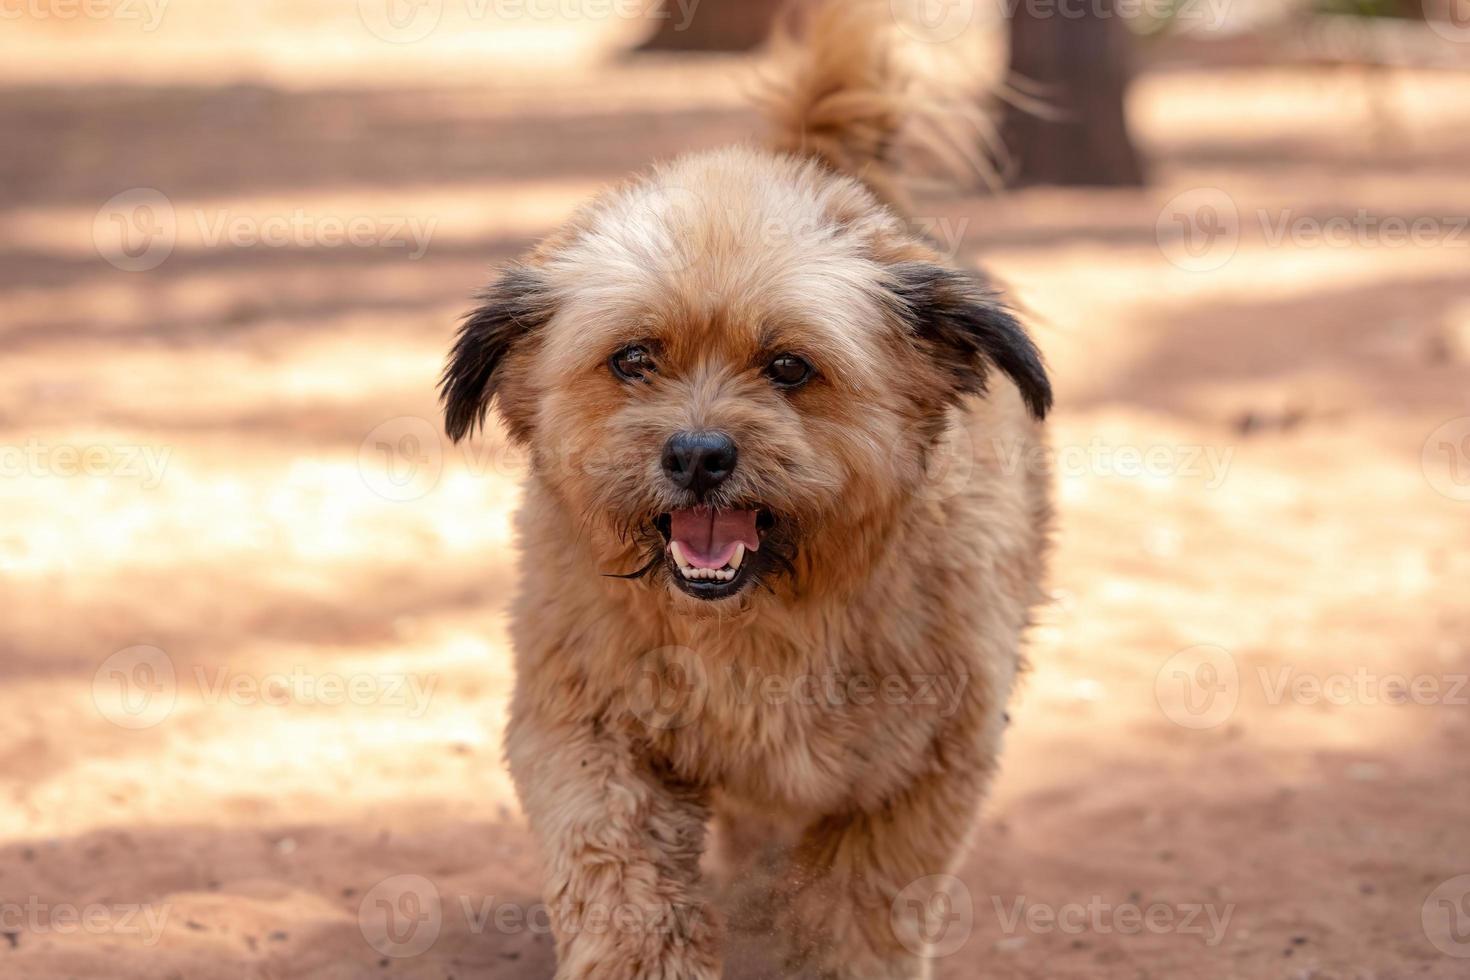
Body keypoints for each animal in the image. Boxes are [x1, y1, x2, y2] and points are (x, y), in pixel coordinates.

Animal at [441, 5, 1052, 975]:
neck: (763, 625)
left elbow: (858, 910)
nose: (698, 455)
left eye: (791, 366)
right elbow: (620, 879)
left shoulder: (923, 770)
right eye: (633, 359)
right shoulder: (587, 728)